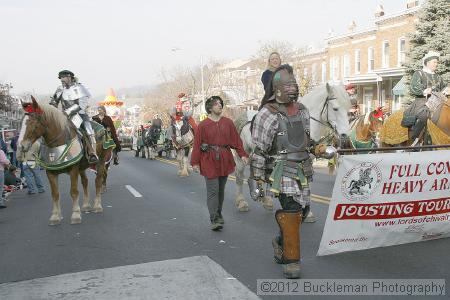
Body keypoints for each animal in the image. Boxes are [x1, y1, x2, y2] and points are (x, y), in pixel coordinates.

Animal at [17, 96, 112, 225]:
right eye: (22, 121)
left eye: (32, 122)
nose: (21, 146)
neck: (59, 139)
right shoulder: (50, 172)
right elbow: (55, 194)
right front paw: (55, 216)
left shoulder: (73, 170)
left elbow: (74, 191)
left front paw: (75, 215)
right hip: (82, 167)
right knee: (85, 182)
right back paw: (86, 205)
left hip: (101, 161)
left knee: (98, 181)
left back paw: (97, 206)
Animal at [234, 83, 354, 217]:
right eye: (335, 108)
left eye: (348, 109)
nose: (345, 135)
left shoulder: (307, 160)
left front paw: (308, 213)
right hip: (241, 157)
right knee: (239, 175)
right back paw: (241, 202)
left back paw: (267, 201)